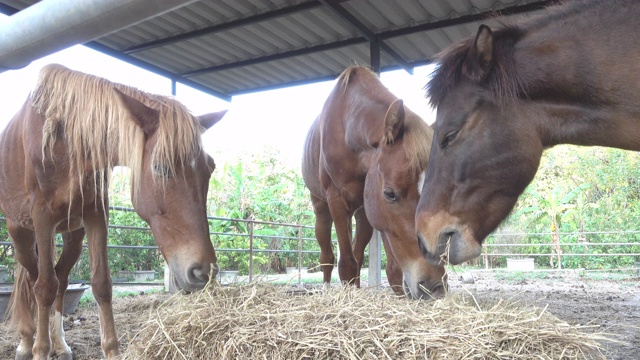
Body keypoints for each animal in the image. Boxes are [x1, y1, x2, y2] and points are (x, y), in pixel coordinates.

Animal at [0, 64, 226, 360]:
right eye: (161, 167)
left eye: (209, 169)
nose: (203, 272)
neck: (65, 141)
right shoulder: (43, 218)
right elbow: (44, 287)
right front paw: (39, 349)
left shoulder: (96, 216)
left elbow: (101, 285)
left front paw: (110, 349)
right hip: (21, 233)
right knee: (32, 279)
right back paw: (27, 341)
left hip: (73, 236)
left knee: (61, 279)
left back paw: (59, 343)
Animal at [304, 66, 444, 300]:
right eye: (390, 193)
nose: (434, 286)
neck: (347, 126)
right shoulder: (337, 200)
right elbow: (346, 263)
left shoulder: (372, 209)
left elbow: (390, 268)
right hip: (321, 206)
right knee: (327, 256)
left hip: (361, 212)